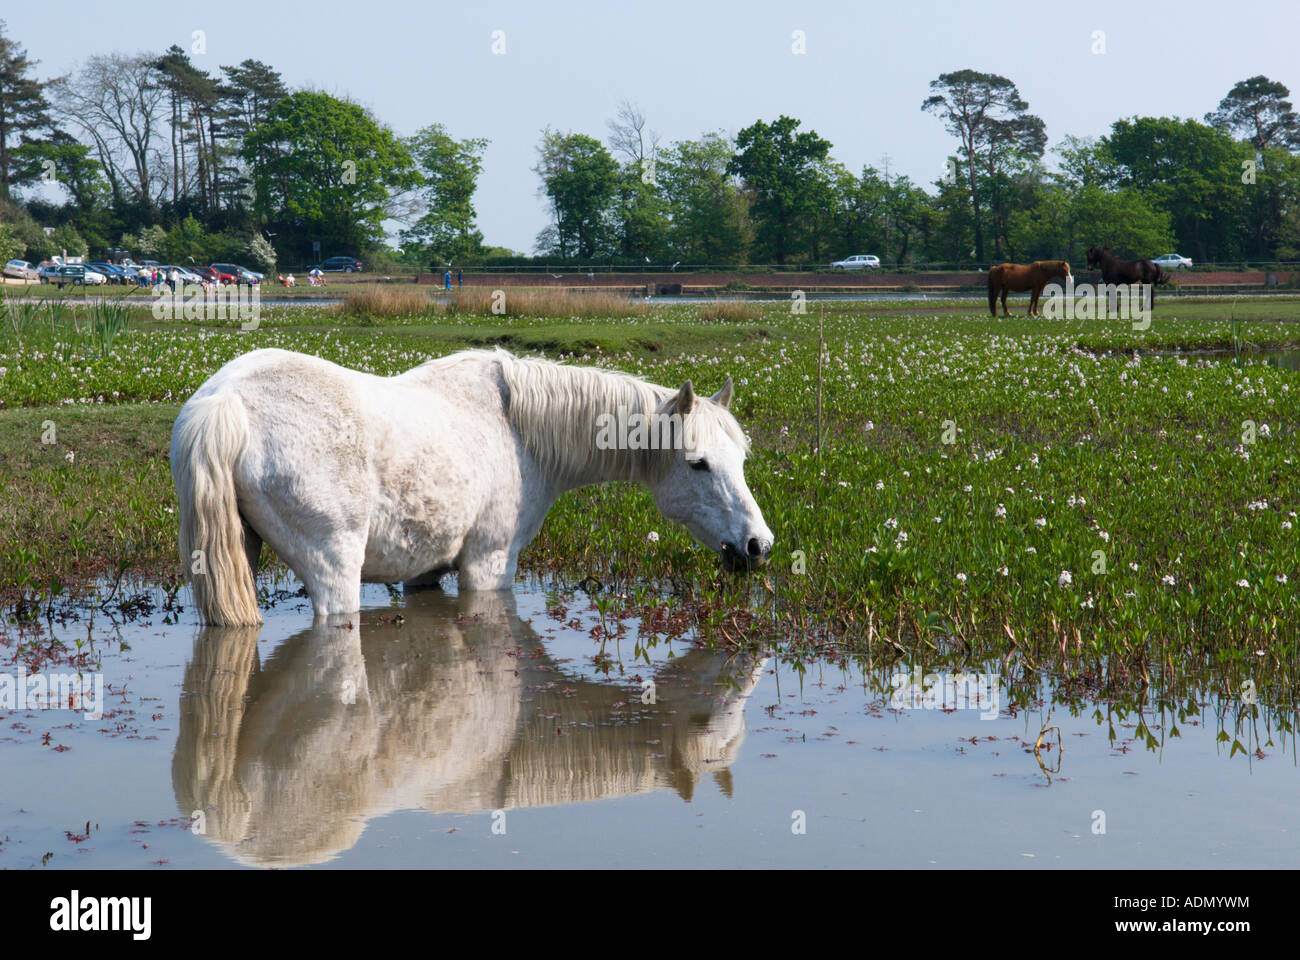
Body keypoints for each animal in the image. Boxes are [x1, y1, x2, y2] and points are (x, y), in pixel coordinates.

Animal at [166, 348, 764, 624]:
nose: (759, 545)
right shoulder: (489, 564)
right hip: (334, 571)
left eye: (740, 458)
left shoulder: (425, 570)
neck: (518, 429)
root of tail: (227, 400)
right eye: (698, 464)